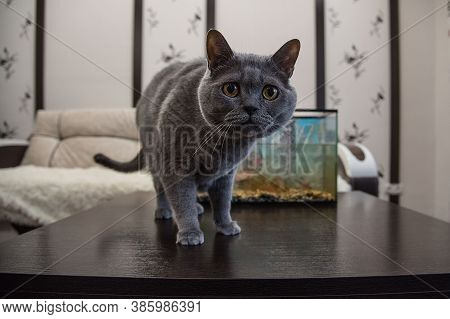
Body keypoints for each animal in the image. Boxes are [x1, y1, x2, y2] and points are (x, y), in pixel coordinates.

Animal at [94, 30, 298, 246]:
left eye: (270, 92)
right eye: (231, 89)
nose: (251, 107)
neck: (224, 144)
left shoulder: (226, 175)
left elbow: (223, 202)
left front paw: (226, 225)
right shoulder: (174, 166)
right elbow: (182, 202)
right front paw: (190, 233)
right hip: (155, 156)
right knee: (160, 188)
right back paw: (164, 211)